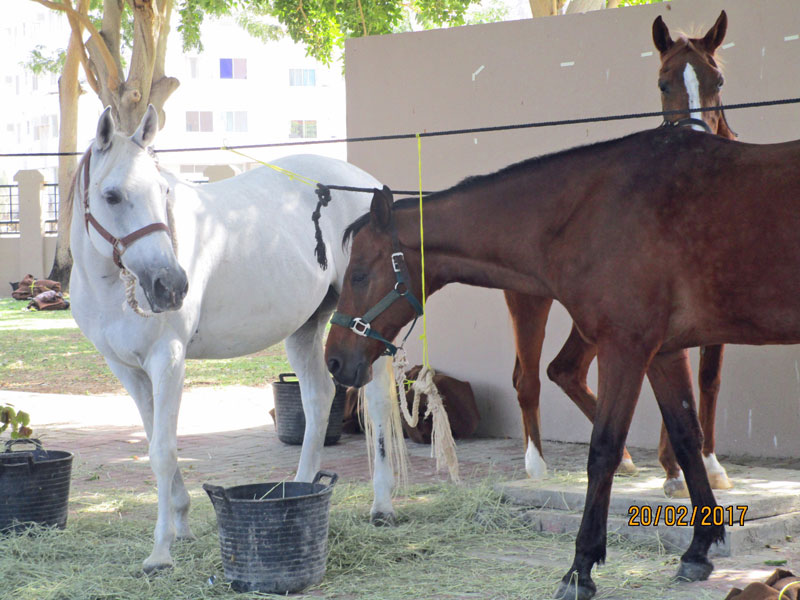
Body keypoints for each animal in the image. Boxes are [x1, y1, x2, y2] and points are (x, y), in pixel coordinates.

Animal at [71, 106, 400, 572]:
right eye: (112, 196)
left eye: (163, 190)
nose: (171, 286)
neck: (111, 288)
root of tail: (365, 185)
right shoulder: (127, 370)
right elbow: (156, 444)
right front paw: (182, 526)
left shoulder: (167, 361)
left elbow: (162, 451)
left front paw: (160, 552)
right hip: (304, 329)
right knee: (319, 397)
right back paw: (302, 489)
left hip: (368, 330)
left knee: (377, 404)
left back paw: (382, 506)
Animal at [324, 127, 800, 600]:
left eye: (359, 275)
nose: (334, 359)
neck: (592, 210)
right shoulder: (663, 352)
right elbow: (686, 439)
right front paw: (698, 550)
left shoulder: (624, 348)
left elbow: (603, 451)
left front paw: (580, 569)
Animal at [506, 10, 736, 496]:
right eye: (663, 83)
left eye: (718, 80)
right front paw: (675, 469)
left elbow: (707, 379)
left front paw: (707, 464)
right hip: (530, 302)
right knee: (528, 377)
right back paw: (536, 464)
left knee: (564, 370)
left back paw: (627, 456)